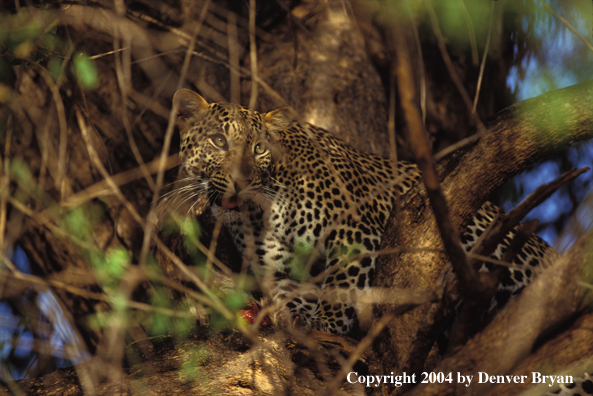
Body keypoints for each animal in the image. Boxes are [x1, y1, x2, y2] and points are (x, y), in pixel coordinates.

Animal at [169, 88, 556, 336]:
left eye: (259, 148)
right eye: (219, 141)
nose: (241, 181)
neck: (257, 213)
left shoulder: (355, 234)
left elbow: (342, 286)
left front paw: (327, 324)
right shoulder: (279, 269)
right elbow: (294, 292)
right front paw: (298, 319)